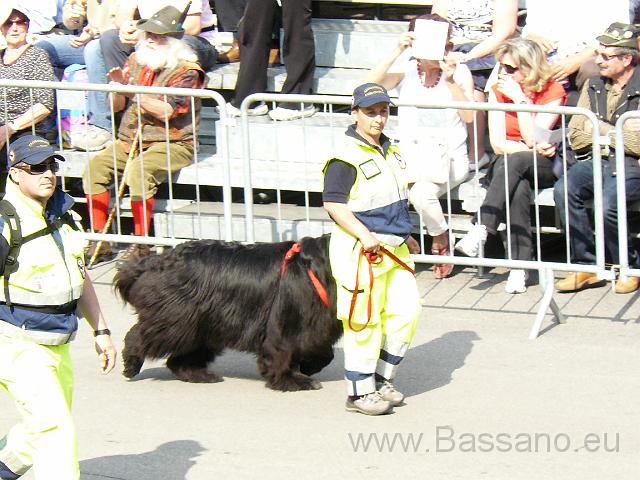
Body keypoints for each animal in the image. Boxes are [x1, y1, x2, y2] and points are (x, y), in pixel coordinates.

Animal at [115, 235, 344, 390]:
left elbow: (325, 352)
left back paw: (199, 375)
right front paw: (290, 380)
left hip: (202, 327)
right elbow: (282, 351)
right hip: (176, 319)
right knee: (140, 334)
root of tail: (154, 262)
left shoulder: (320, 325)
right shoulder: (286, 322)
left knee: (178, 358)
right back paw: (131, 363)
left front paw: (307, 367)